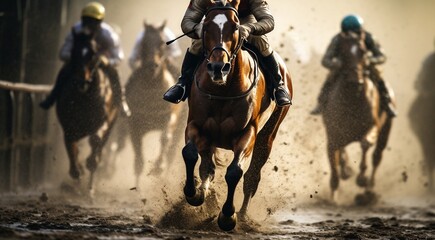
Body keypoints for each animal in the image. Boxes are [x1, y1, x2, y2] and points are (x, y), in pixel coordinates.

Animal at [55, 29, 119, 195]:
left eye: (93, 54)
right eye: (74, 52)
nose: (81, 81)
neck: (85, 98)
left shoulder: (103, 120)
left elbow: (96, 140)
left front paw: (90, 168)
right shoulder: (69, 126)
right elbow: (72, 149)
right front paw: (78, 174)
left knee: (100, 145)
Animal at [124, 21, 184, 188]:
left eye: (162, 42)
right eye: (144, 43)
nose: (152, 65)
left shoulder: (170, 116)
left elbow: (165, 137)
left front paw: (158, 167)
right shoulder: (134, 123)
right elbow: (138, 160)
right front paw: (137, 189)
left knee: (171, 153)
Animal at [179, 1, 294, 231]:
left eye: (235, 27)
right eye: (206, 28)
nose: (218, 67)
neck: (224, 90)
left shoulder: (247, 134)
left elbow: (234, 172)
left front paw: (227, 216)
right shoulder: (196, 126)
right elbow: (190, 153)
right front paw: (193, 193)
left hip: (269, 132)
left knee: (252, 175)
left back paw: (242, 215)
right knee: (208, 167)